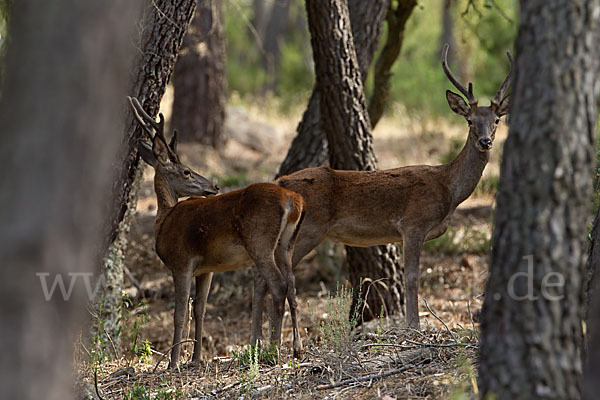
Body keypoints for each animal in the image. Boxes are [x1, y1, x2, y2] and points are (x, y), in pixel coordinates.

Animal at [126, 97, 304, 368]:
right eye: (187, 171)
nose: (214, 186)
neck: (164, 218)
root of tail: (293, 201)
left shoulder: (181, 261)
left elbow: (180, 314)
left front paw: (173, 362)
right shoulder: (206, 268)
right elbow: (200, 308)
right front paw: (196, 358)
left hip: (260, 242)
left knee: (278, 285)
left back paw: (274, 350)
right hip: (286, 244)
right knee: (292, 286)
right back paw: (297, 349)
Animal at [248, 45, 510, 330]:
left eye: (497, 120)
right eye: (470, 121)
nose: (485, 141)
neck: (448, 190)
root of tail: (281, 182)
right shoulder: (413, 224)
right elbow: (412, 278)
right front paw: (413, 326)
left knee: (261, 277)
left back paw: (259, 340)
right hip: (308, 230)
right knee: (269, 278)